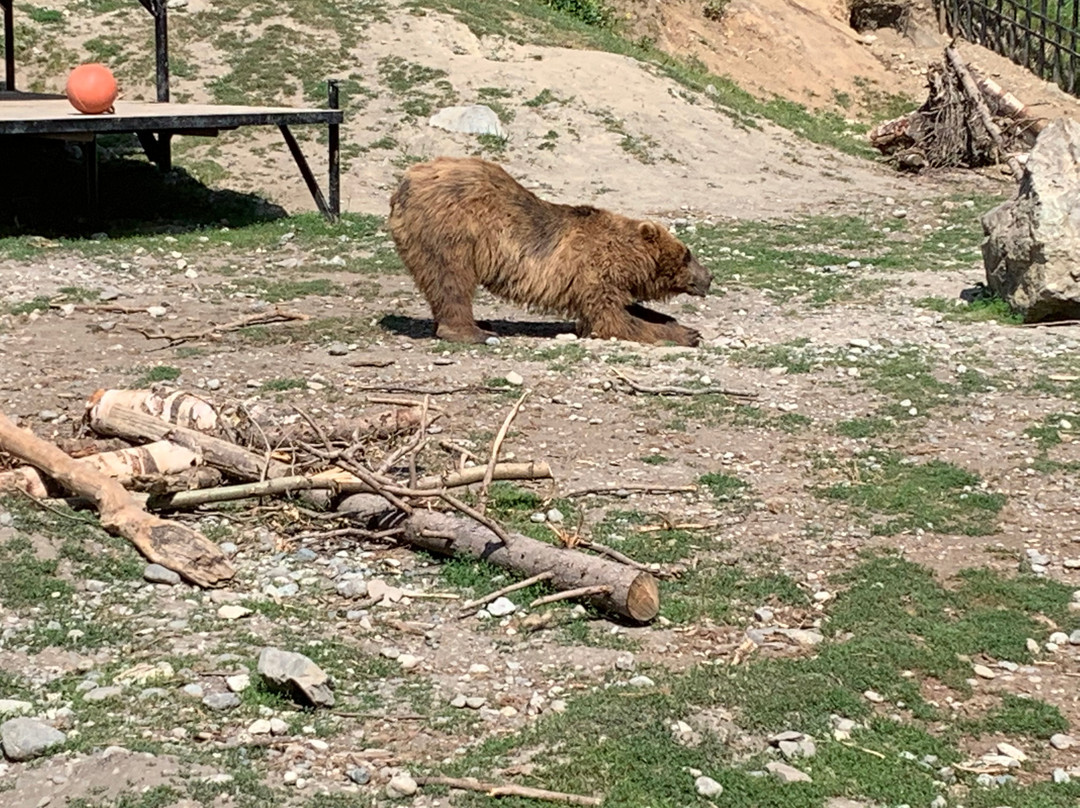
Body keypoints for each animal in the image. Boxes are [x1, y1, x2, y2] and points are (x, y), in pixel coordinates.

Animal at [386, 156, 708, 345]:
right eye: (687, 254)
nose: (709, 276)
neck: (627, 260)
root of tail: (403, 183)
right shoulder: (593, 270)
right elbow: (611, 318)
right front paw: (686, 334)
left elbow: (628, 308)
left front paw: (673, 322)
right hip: (451, 229)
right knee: (451, 279)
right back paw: (475, 331)